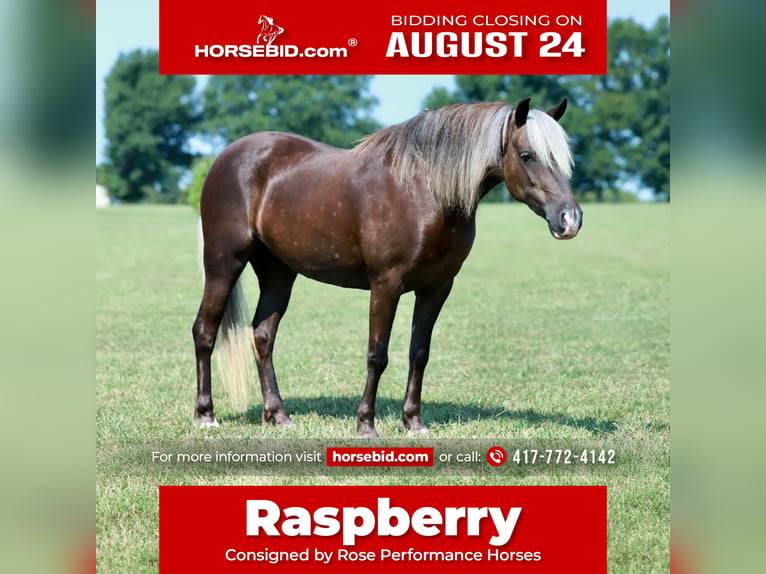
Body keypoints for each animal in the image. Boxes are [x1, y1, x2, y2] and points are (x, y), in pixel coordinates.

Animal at [192, 98, 582, 437]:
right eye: (527, 155)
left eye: (564, 158)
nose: (570, 219)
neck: (425, 190)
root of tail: (226, 157)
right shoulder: (386, 285)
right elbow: (377, 355)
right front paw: (366, 424)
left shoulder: (438, 287)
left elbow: (419, 353)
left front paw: (414, 422)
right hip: (224, 263)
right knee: (205, 331)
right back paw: (206, 415)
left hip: (278, 272)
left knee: (263, 335)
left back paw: (278, 415)